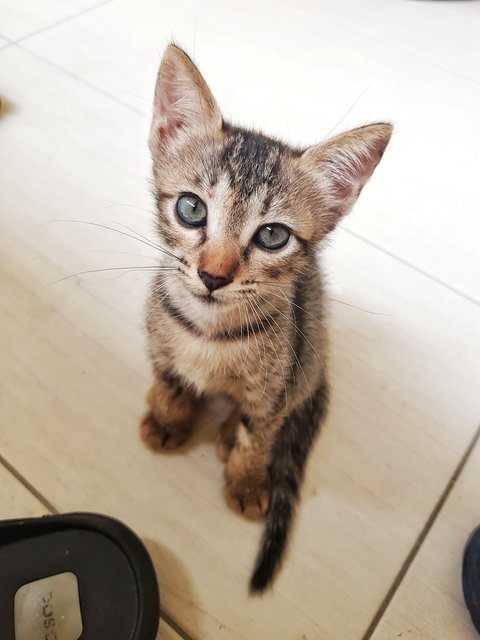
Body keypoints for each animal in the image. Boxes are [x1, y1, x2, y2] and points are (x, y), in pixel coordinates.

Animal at [141, 43, 392, 596]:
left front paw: (246, 480)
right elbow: (170, 381)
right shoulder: (159, 336)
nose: (213, 275)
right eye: (191, 208)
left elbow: (257, 440)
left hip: (306, 361)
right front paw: (168, 417)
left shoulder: (275, 387)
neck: (207, 331)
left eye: (272, 236)